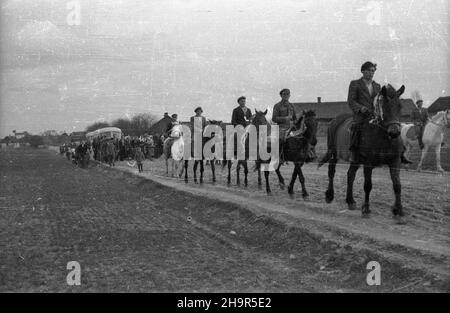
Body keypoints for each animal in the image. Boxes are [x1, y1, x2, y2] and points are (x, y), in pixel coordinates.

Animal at [316, 84, 408, 223]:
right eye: (384, 106)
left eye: (399, 106)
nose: (394, 133)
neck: (383, 137)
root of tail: (335, 120)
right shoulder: (368, 163)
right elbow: (368, 185)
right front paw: (366, 209)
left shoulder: (395, 161)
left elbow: (397, 185)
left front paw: (398, 210)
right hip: (333, 153)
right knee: (331, 172)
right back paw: (329, 196)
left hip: (355, 160)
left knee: (350, 175)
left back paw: (350, 201)